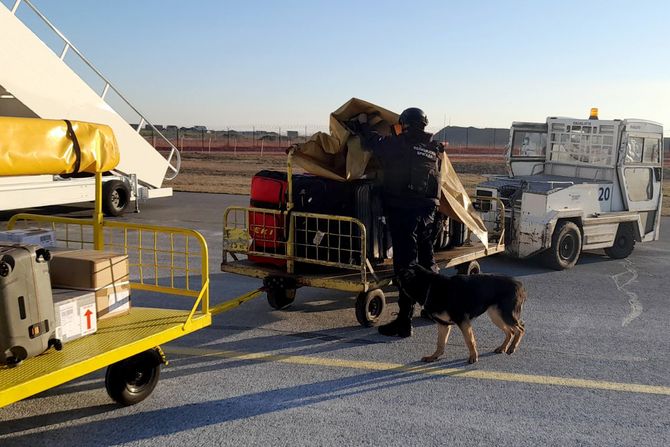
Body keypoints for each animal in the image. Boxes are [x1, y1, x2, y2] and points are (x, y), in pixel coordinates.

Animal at [396, 266, 528, 364]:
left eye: (400, 276)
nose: (393, 276)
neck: (429, 286)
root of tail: (520, 284)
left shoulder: (463, 321)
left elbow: (470, 340)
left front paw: (473, 357)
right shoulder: (443, 325)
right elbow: (440, 343)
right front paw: (434, 356)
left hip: (504, 315)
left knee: (520, 329)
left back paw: (512, 347)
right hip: (496, 316)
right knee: (510, 331)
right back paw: (503, 348)